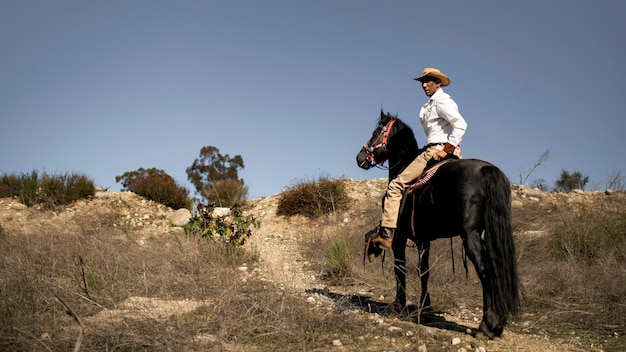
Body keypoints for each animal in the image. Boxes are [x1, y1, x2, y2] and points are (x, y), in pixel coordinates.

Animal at [354, 111, 520, 340]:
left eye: (376, 132)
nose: (360, 157)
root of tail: (488, 170)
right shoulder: (424, 239)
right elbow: (424, 272)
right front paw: (425, 311)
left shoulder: (399, 238)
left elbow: (400, 269)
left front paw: (398, 307)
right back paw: (497, 324)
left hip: (471, 235)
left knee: (486, 271)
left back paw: (487, 326)